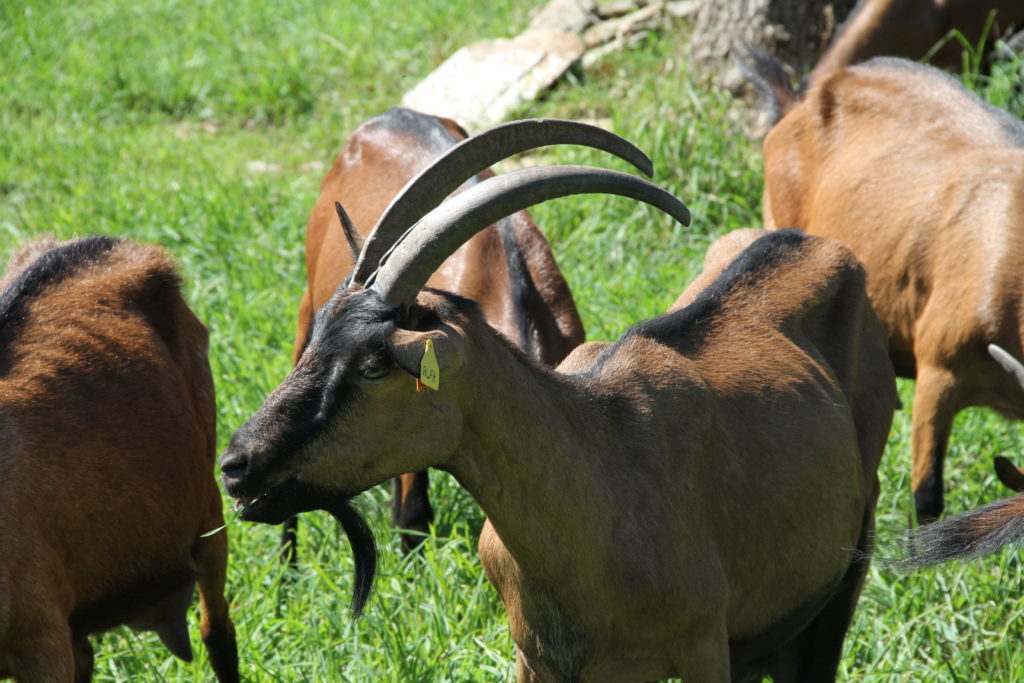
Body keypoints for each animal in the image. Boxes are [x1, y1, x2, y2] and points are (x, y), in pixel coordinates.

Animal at [218, 120, 897, 679]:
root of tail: (810, 241)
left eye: (373, 363)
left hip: (846, 563)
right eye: (319, 340)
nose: (236, 463)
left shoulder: (706, 649)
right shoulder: (537, 660)